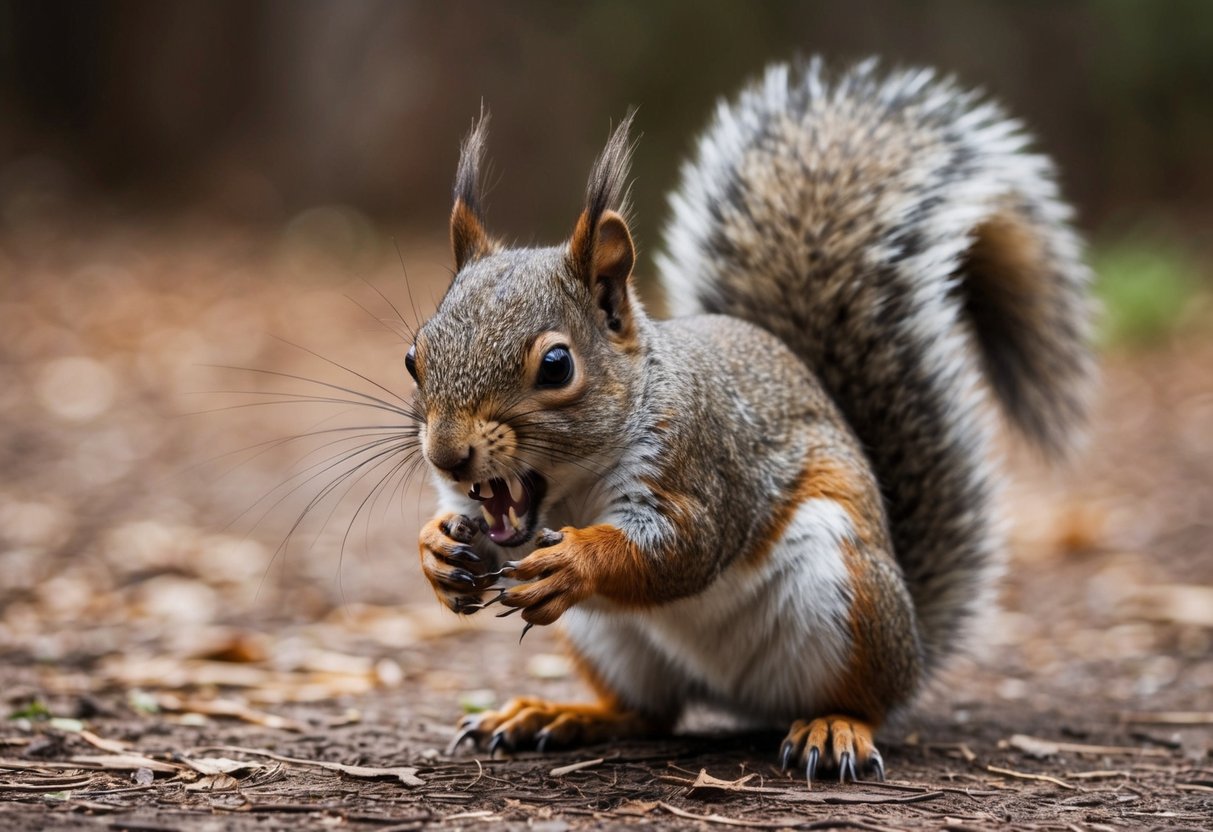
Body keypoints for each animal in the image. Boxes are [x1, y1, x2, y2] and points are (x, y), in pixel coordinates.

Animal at [410, 58, 1093, 782]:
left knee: (865, 698)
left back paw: (835, 727)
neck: (572, 490)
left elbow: (684, 550)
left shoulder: (703, 465)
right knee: (646, 712)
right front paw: (436, 552)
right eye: (413, 356)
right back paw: (556, 715)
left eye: (557, 365)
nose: (447, 455)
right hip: (608, 638)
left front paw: (575, 561)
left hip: (844, 589)